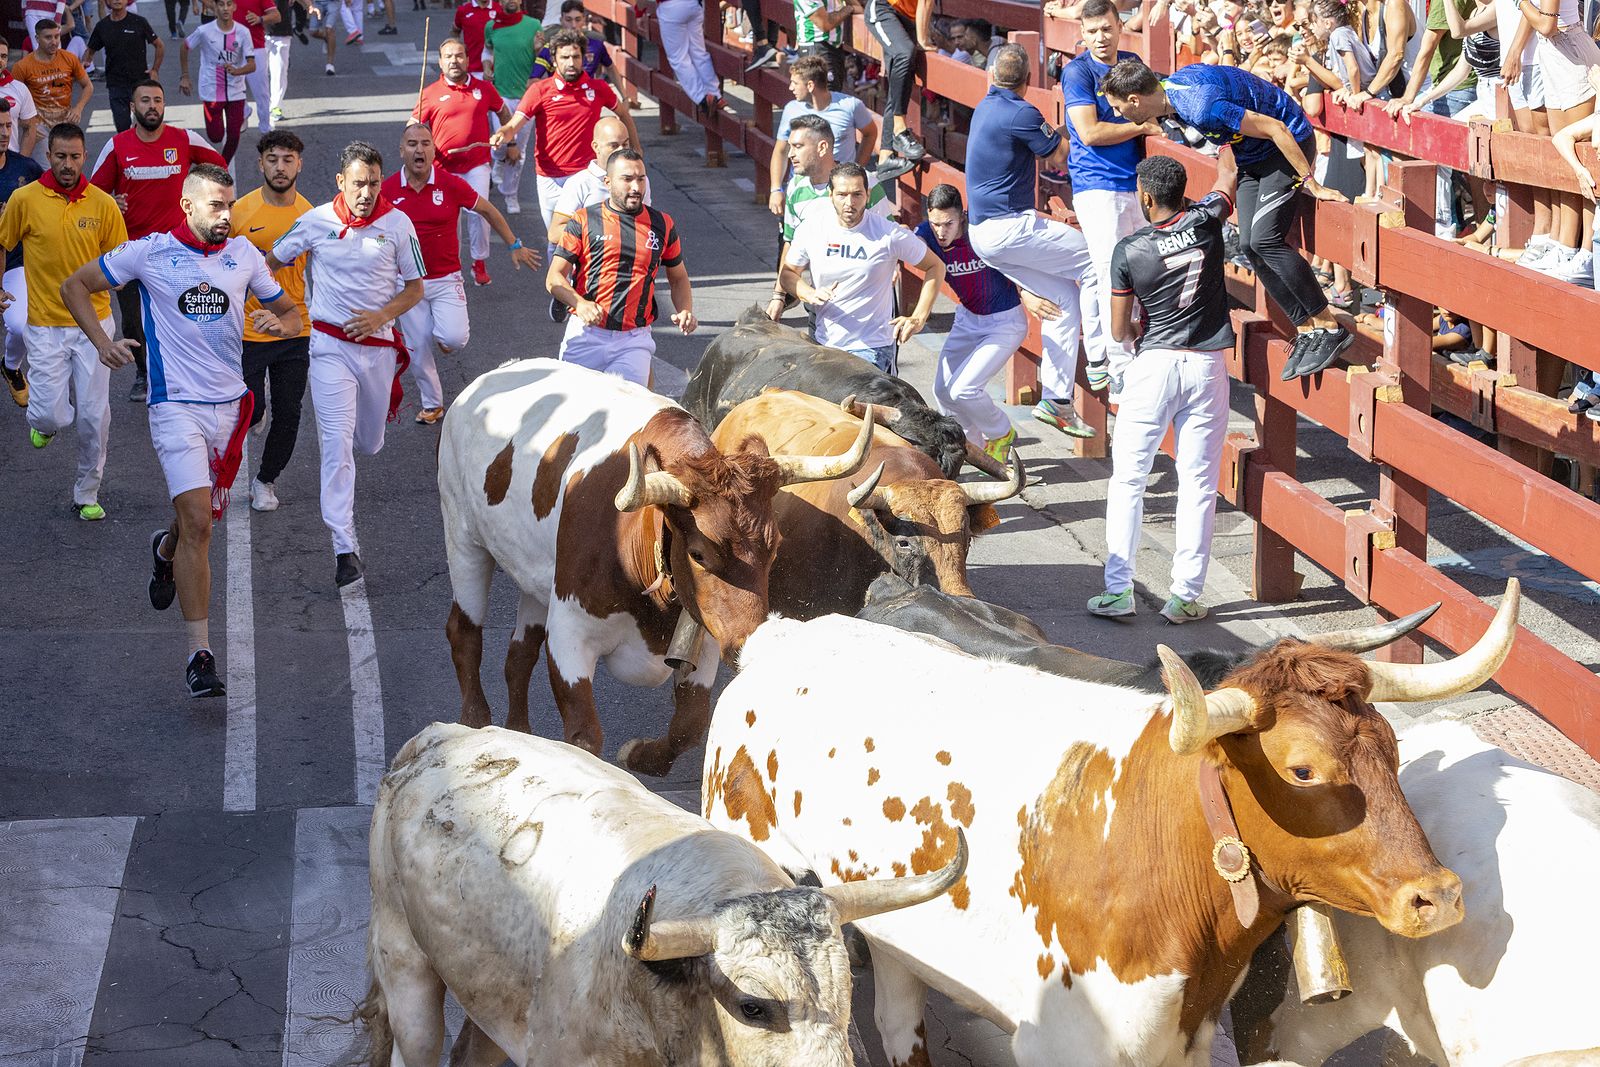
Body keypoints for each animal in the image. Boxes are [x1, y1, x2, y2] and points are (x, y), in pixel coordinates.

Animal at [438, 361, 876, 777]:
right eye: (698, 553)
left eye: (776, 546)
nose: (749, 640)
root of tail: (494, 375)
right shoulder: (570, 632)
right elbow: (584, 736)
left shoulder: (706, 636)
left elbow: (690, 725)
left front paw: (641, 755)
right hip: (462, 536)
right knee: (464, 632)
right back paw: (475, 722)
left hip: (533, 576)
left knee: (519, 653)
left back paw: (519, 733)